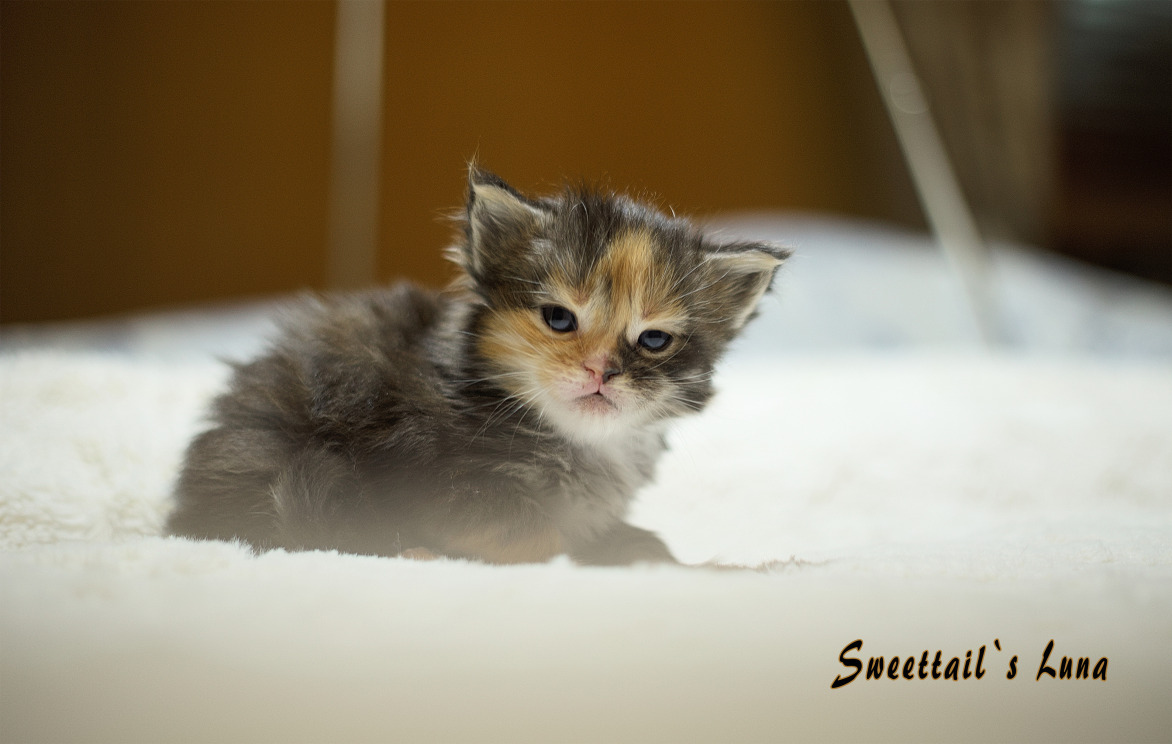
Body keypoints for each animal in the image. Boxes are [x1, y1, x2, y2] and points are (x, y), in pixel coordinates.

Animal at [166, 167, 789, 565]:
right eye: (559, 319)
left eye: (653, 339)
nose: (601, 370)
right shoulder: (442, 481)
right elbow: (535, 537)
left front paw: (640, 549)